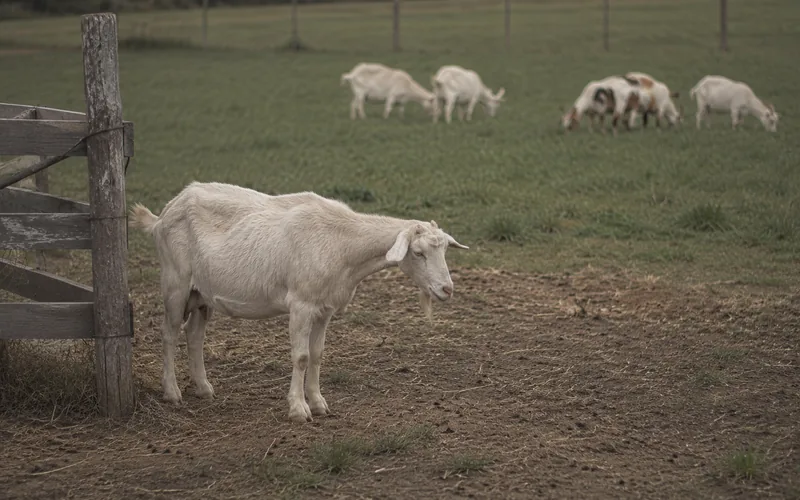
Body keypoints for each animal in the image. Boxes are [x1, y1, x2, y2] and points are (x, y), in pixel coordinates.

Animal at [129, 182, 468, 423]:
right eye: (418, 253)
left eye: (444, 251)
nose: (447, 289)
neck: (343, 244)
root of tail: (163, 215)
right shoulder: (302, 304)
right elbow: (302, 357)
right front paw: (298, 409)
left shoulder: (325, 308)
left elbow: (317, 355)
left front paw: (318, 403)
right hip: (175, 282)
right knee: (169, 332)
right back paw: (172, 392)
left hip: (201, 293)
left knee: (194, 334)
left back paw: (203, 387)